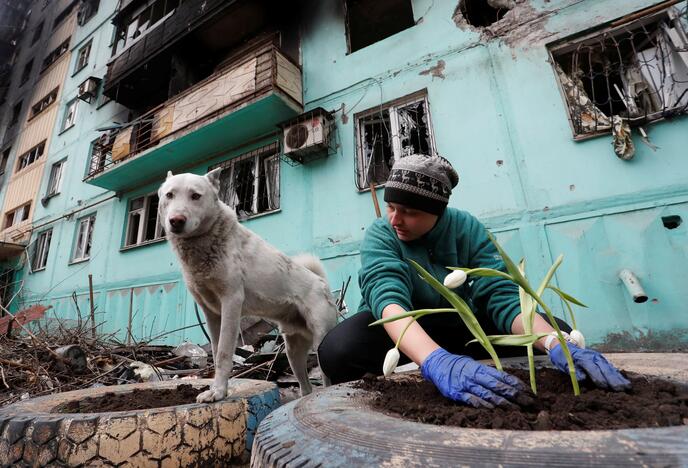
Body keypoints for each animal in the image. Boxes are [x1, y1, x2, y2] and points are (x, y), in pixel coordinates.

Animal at [157, 168, 338, 402]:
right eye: (169, 195)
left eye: (195, 196)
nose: (176, 221)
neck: (205, 242)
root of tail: (322, 282)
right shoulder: (211, 313)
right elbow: (215, 351)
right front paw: (217, 389)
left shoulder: (231, 303)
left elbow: (224, 353)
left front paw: (218, 393)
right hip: (293, 352)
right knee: (305, 386)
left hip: (321, 341)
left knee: (326, 380)